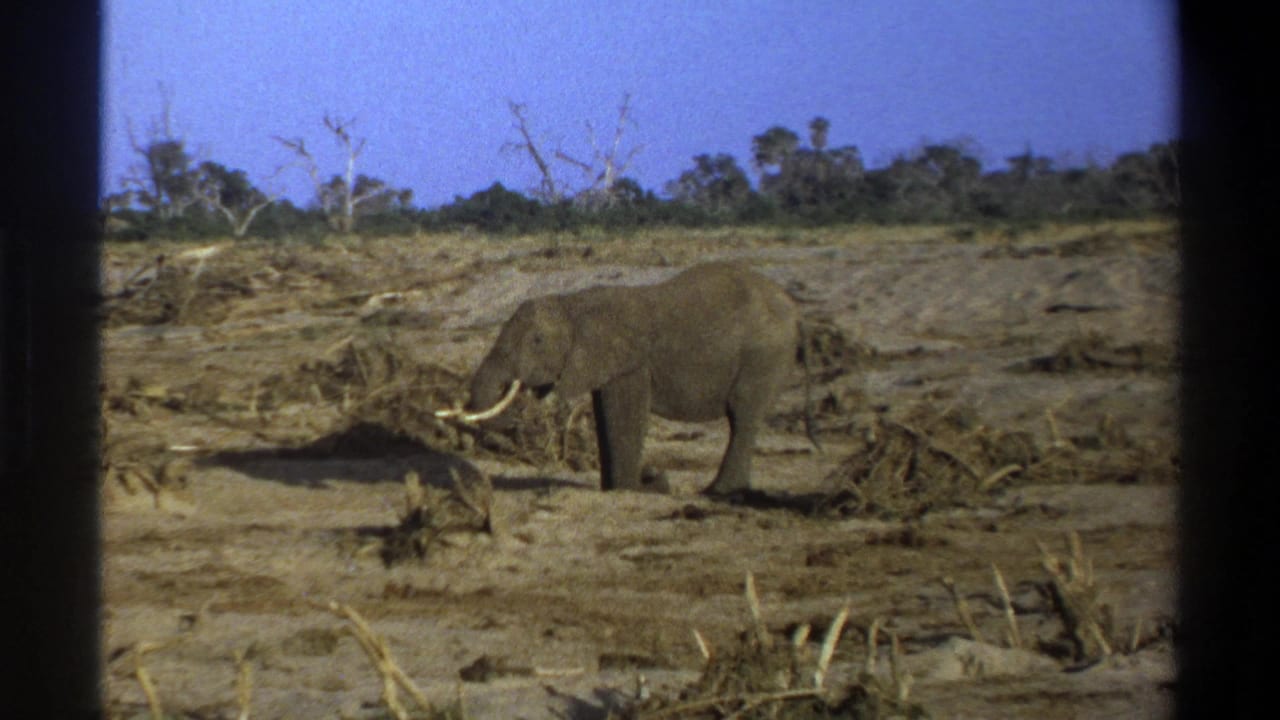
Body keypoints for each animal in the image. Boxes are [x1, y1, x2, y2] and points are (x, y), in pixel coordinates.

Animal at [439, 261, 816, 496]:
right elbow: (605, 415)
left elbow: (624, 415)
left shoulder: (631, 362)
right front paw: (622, 488)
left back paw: (719, 492)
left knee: (742, 414)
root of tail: (797, 313)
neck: (574, 304)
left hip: (764, 355)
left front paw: (637, 488)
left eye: (537, 341)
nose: (654, 474)